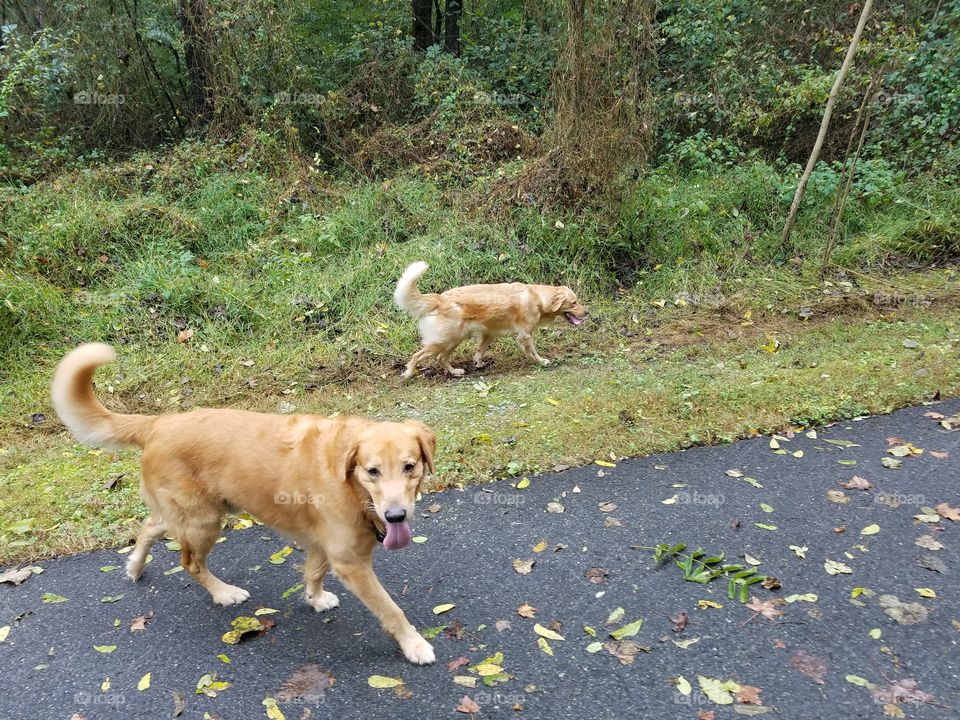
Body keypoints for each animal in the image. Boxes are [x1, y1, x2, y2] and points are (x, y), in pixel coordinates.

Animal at [51, 344, 438, 664]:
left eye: (410, 466)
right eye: (372, 471)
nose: (396, 516)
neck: (351, 482)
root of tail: (160, 422)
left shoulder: (325, 543)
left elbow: (314, 571)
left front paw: (314, 598)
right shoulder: (351, 561)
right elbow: (390, 609)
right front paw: (414, 644)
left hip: (195, 512)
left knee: (149, 526)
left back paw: (134, 566)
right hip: (203, 521)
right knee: (191, 563)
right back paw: (224, 593)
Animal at [394, 262, 588, 380]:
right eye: (574, 302)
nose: (587, 312)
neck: (538, 298)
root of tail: (440, 298)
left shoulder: (488, 333)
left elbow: (480, 351)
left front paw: (479, 363)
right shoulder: (525, 335)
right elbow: (532, 352)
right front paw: (541, 361)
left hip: (453, 340)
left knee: (441, 358)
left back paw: (455, 372)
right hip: (447, 339)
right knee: (419, 356)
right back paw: (408, 373)